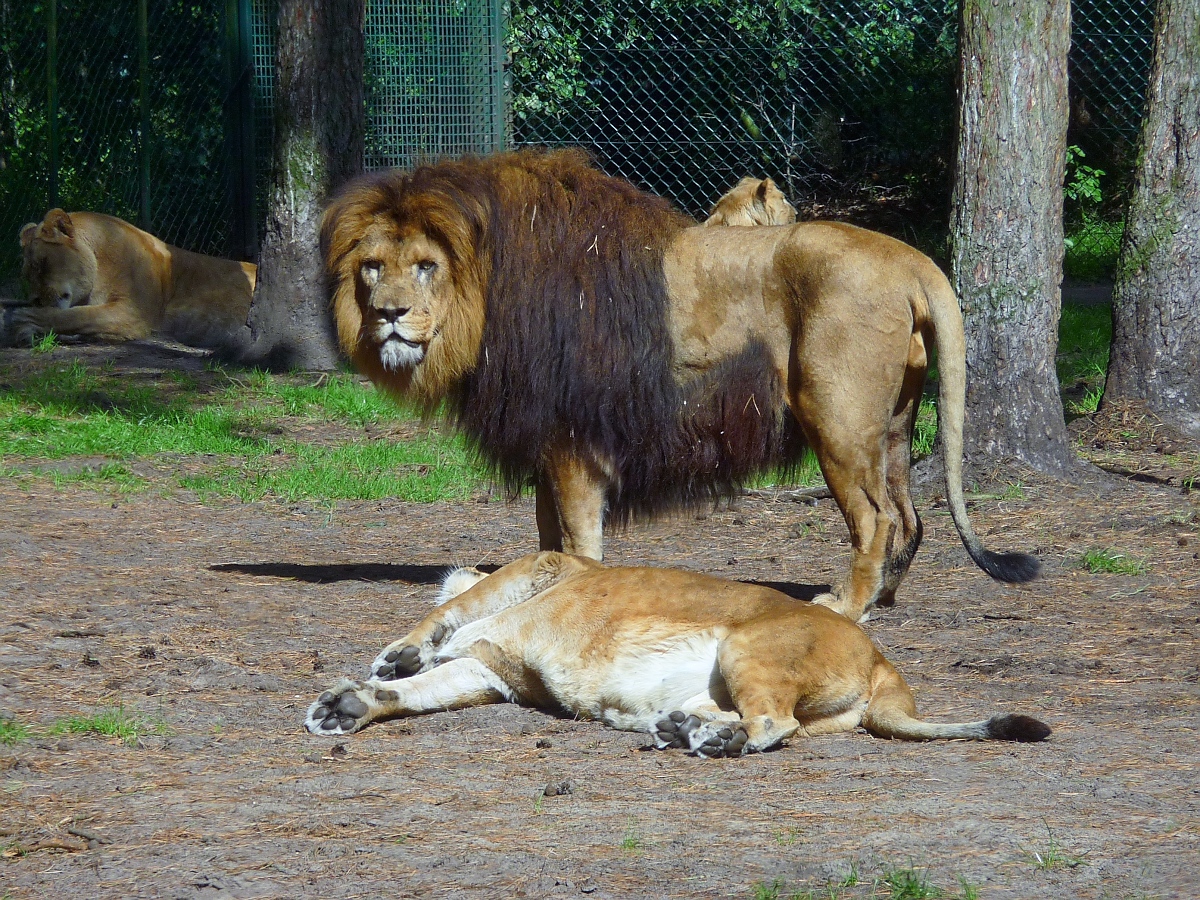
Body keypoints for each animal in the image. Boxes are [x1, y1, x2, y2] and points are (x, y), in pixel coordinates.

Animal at [321, 150, 1041, 628]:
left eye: (425, 267)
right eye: (372, 267)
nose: (388, 313)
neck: (487, 294)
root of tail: (909, 257)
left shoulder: (575, 439)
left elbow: (579, 539)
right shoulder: (550, 442)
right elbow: (550, 536)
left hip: (834, 416)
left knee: (878, 519)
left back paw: (848, 604)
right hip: (891, 422)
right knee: (911, 517)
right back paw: (886, 597)